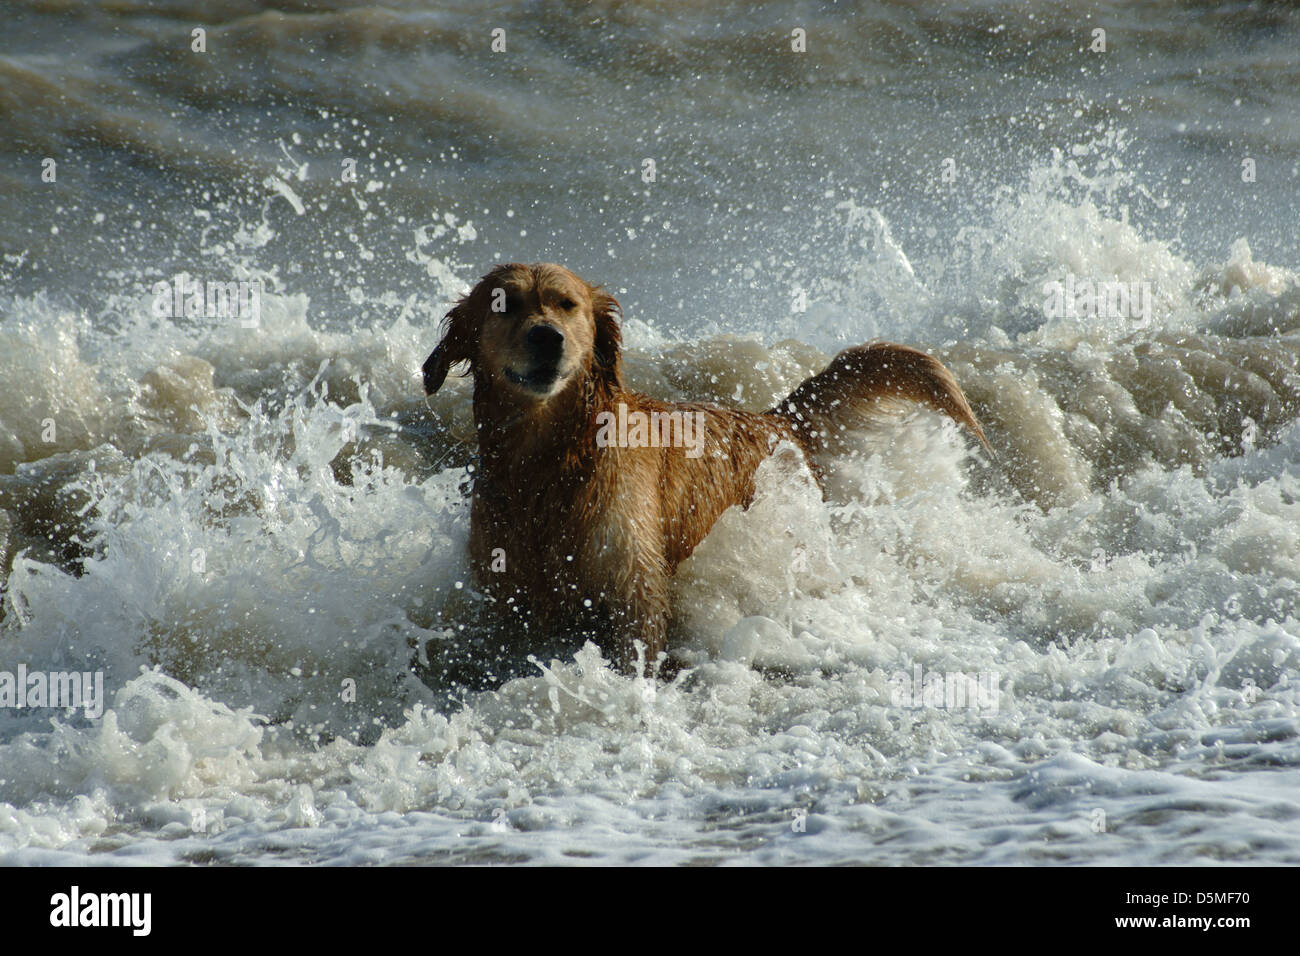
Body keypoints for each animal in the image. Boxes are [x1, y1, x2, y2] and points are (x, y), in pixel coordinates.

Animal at [426, 264, 982, 671]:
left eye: (567, 304)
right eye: (504, 304)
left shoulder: (635, 588)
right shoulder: (511, 596)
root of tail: (775, 419)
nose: (548, 337)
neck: (552, 463)